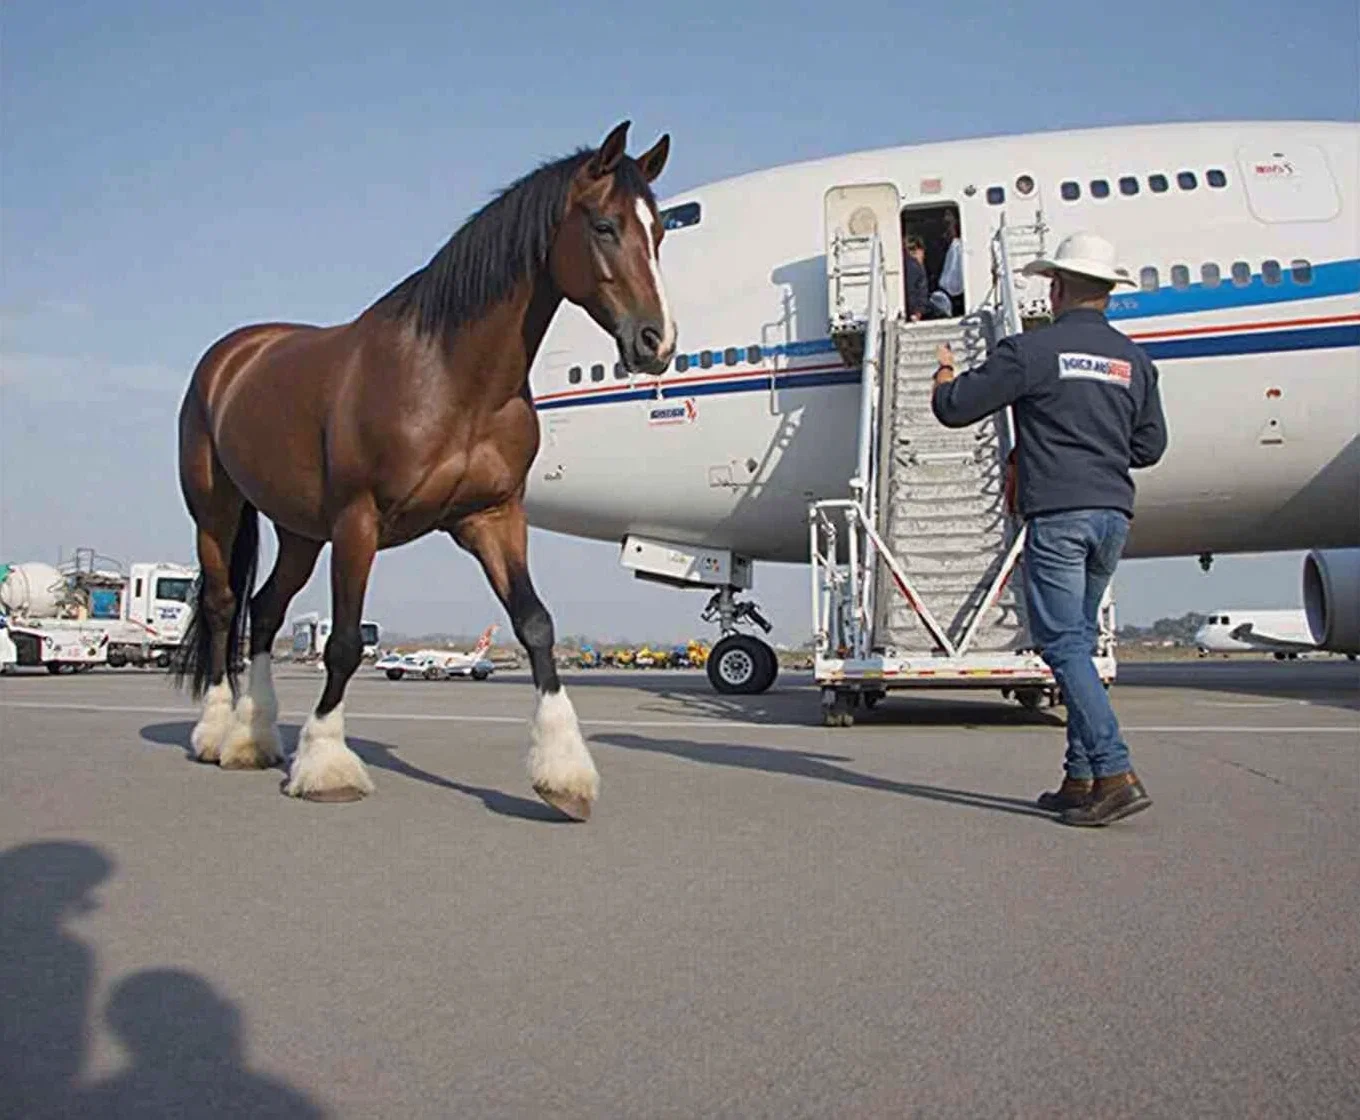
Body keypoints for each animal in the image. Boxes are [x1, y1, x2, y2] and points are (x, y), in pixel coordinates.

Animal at [168, 124, 674, 820]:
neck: (447, 376)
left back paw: (254, 737)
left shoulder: (492, 518)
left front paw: (564, 774)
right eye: (604, 226)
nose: (658, 341)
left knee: (266, 610)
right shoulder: (359, 521)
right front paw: (327, 765)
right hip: (217, 512)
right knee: (222, 607)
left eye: (660, 233)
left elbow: (536, 624)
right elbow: (344, 642)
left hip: (300, 531)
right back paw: (217, 730)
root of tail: (232, 356)